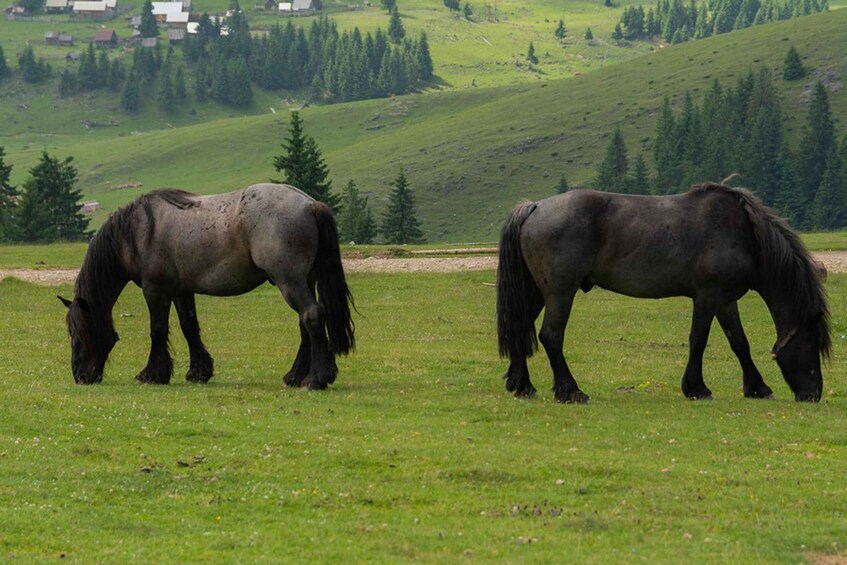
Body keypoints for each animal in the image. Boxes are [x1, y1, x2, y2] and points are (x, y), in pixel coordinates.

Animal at [59, 183, 355, 389]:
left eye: (79, 333)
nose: (80, 376)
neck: (138, 232)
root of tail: (309, 204)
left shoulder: (155, 290)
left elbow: (158, 330)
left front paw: (152, 374)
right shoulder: (181, 291)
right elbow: (189, 327)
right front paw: (198, 372)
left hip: (290, 282)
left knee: (311, 316)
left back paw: (316, 378)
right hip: (303, 281)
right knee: (305, 324)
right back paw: (295, 376)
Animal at [496, 183, 830, 403]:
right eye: (812, 344)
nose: (813, 393)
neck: (746, 236)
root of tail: (535, 207)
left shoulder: (726, 301)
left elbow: (739, 343)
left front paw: (757, 388)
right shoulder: (708, 296)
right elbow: (699, 340)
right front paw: (696, 388)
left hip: (538, 292)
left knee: (520, 328)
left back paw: (522, 385)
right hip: (560, 293)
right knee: (551, 336)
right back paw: (571, 391)